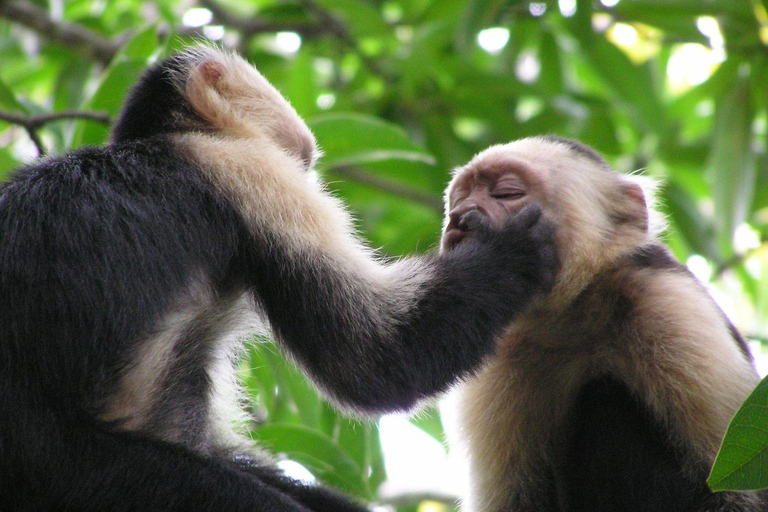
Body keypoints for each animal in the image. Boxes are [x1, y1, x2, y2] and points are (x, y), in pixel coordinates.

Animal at [440, 136, 764, 512]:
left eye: (506, 193)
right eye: (459, 200)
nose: (459, 217)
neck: (572, 318)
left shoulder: (667, 302)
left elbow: (734, 490)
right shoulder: (500, 357)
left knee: (605, 399)